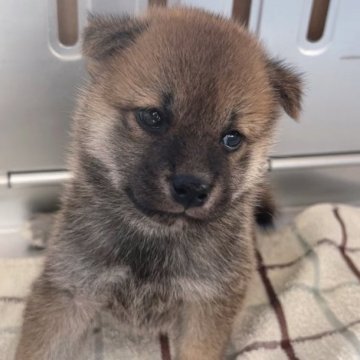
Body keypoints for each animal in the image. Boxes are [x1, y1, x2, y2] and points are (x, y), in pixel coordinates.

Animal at [15, 6, 300, 360]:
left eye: (231, 138)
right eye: (152, 117)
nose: (192, 188)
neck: (155, 235)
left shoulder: (207, 303)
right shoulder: (68, 289)